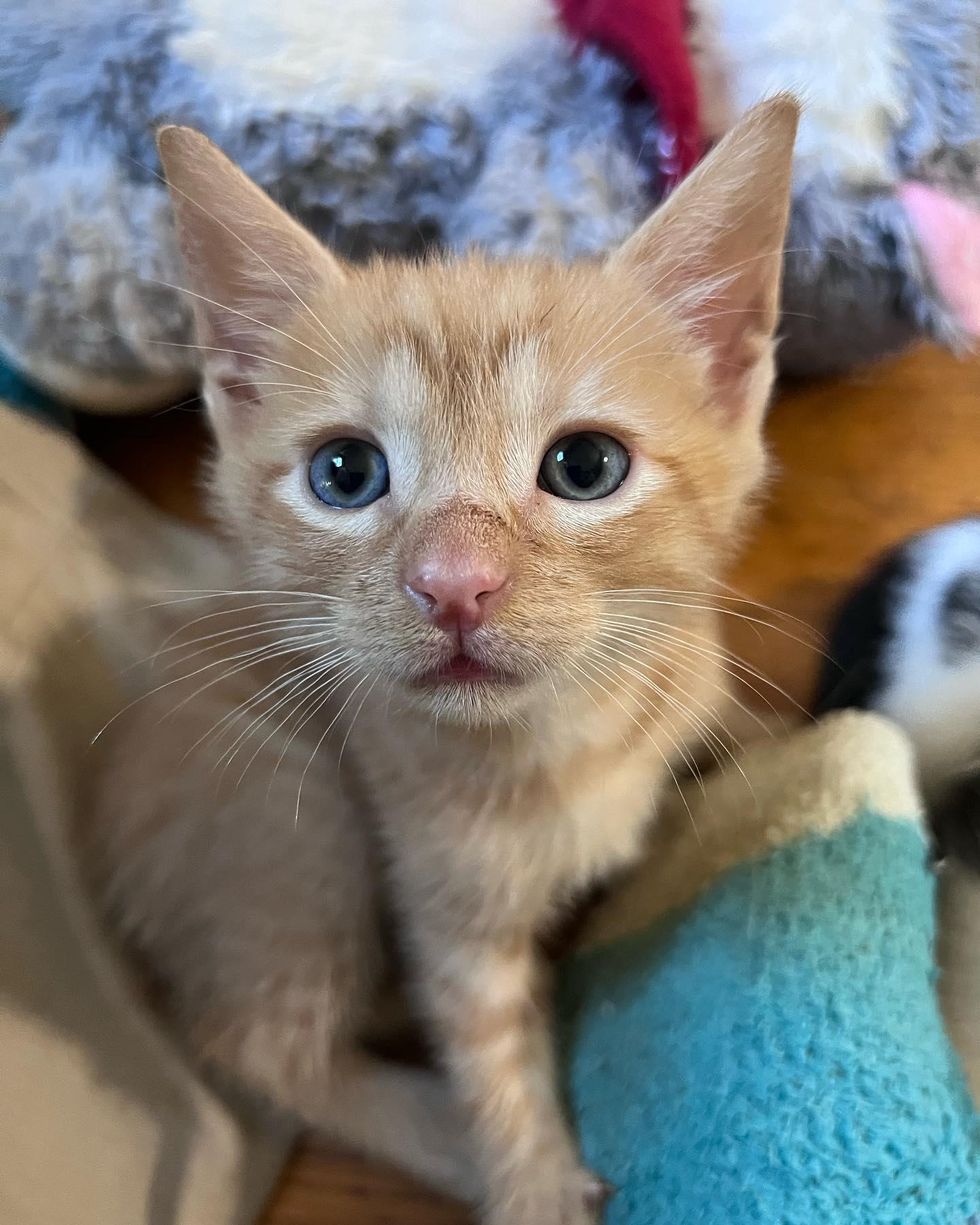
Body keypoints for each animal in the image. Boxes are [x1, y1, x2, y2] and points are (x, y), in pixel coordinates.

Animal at [84, 98, 798, 1225]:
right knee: (257, 1043)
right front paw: (528, 1177)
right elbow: (487, 1050)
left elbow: (713, 705)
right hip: (288, 821)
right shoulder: (443, 903)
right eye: (345, 473)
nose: (454, 584)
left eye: (585, 466)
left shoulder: (681, 661)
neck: (566, 738)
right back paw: (439, 1135)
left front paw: (770, 732)